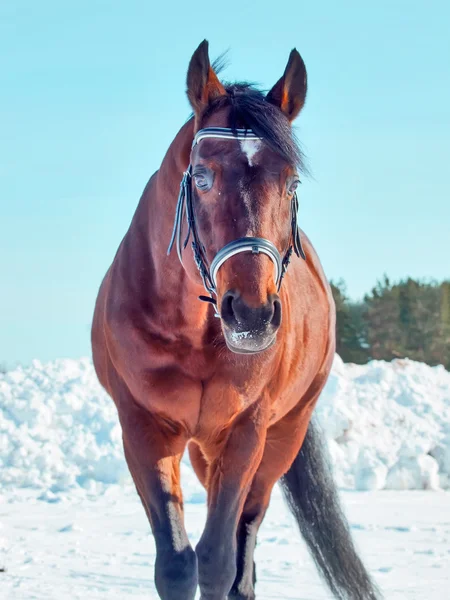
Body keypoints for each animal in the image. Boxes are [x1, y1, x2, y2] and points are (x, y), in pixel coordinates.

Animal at [91, 41, 380, 600]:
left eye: (291, 182)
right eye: (202, 176)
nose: (252, 313)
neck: (191, 333)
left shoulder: (247, 431)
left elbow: (219, 560)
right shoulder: (142, 427)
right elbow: (177, 565)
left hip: (282, 436)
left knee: (246, 536)